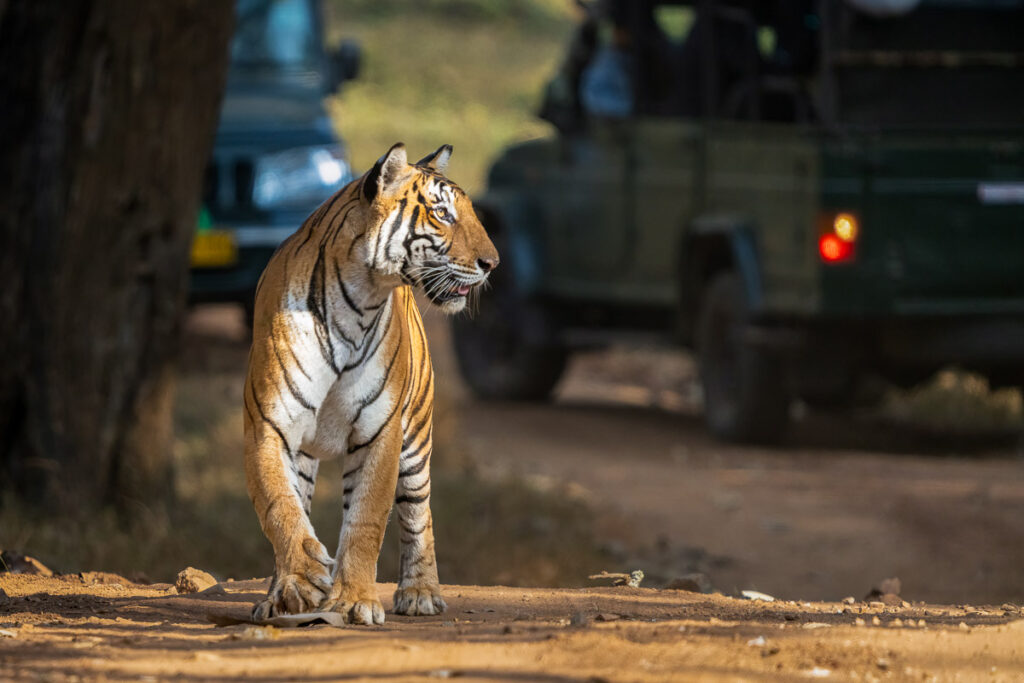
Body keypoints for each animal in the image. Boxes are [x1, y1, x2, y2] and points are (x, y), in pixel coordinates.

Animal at [243, 142, 498, 625]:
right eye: (442, 213)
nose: (492, 263)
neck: (358, 301)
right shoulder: (270, 425)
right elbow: (279, 506)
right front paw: (300, 582)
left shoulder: (380, 430)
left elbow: (366, 519)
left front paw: (354, 601)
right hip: (307, 453)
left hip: (415, 443)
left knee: (418, 516)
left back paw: (419, 593)